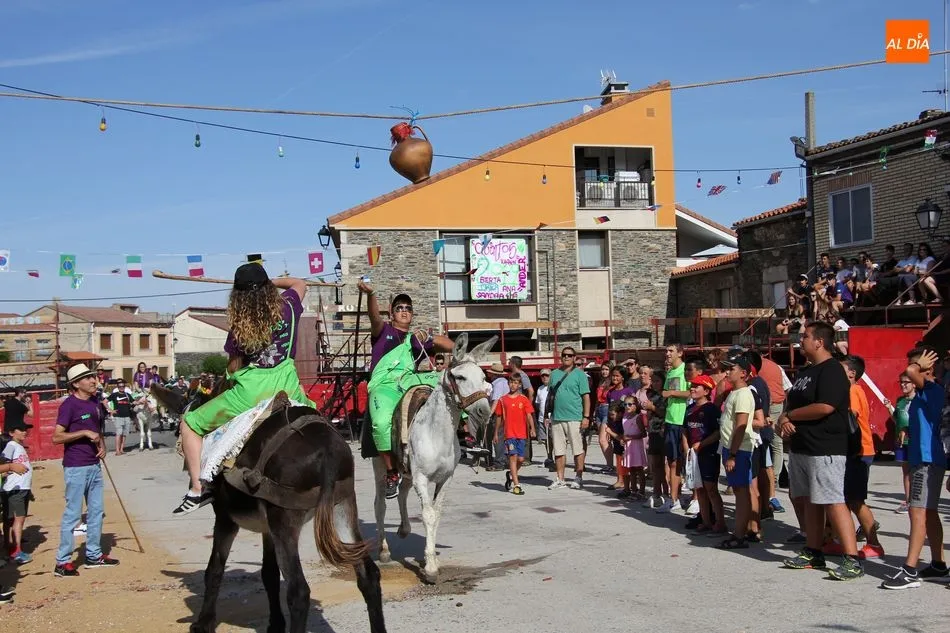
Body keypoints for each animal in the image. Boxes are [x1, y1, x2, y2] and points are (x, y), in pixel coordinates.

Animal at [151, 384, 386, 633]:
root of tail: (328, 449)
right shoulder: (267, 529)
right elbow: (269, 574)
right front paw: (275, 624)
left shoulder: (226, 519)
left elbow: (214, 569)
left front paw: (204, 623)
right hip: (341, 505)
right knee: (368, 575)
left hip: (285, 520)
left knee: (298, 591)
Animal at [370, 333, 496, 584]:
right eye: (460, 376)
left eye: (483, 377)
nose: (484, 412)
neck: (437, 433)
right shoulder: (421, 478)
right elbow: (428, 514)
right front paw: (429, 569)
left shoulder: (445, 479)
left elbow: (436, 514)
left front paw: (433, 560)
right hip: (379, 467)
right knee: (380, 505)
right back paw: (384, 550)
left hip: (407, 471)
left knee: (403, 493)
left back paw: (404, 529)